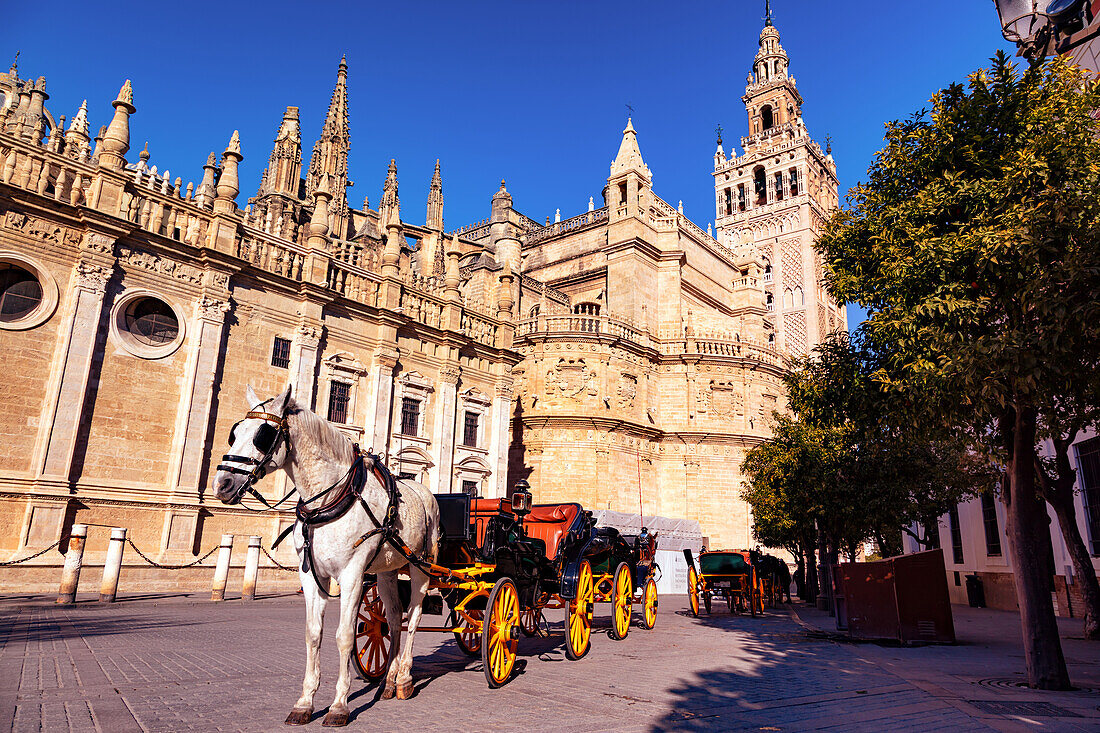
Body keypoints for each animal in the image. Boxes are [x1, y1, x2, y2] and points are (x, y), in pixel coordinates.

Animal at [214, 385, 437, 721]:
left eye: (263, 435)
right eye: (234, 433)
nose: (223, 483)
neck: (329, 499)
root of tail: (426, 493)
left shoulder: (353, 575)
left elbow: (344, 636)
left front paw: (339, 705)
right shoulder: (310, 574)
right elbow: (313, 634)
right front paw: (305, 702)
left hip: (421, 566)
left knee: (413, 617)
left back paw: (404, 679)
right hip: (386, 571)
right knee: (394, 617)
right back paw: (388, 681)